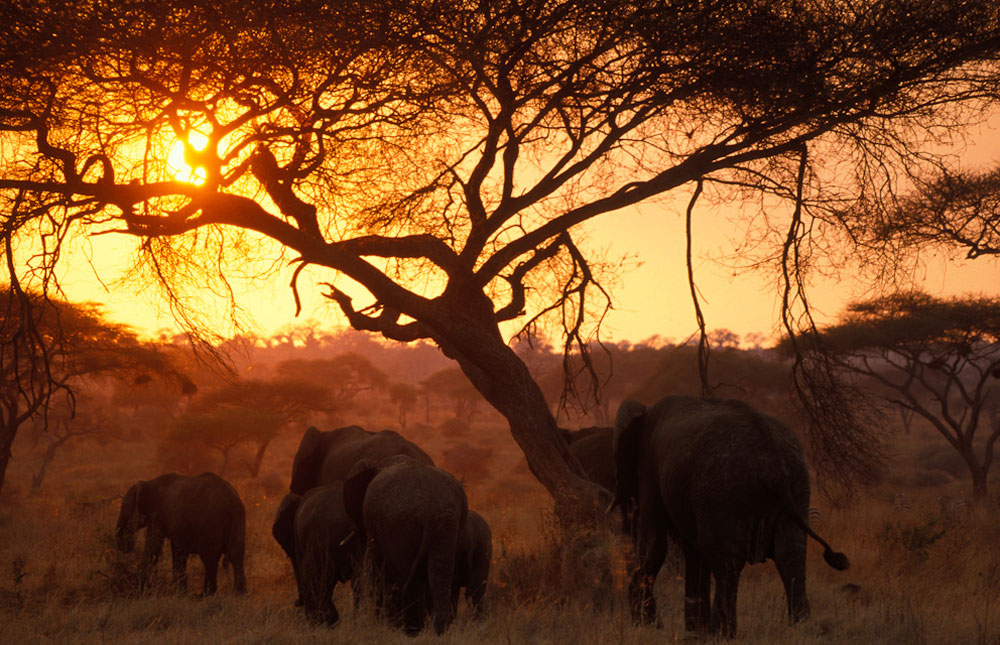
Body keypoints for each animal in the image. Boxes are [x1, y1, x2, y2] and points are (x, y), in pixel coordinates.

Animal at [116, 470, 247, 596]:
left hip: (212, 522)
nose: (124, 546)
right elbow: (178, 551)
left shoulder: (157, 514)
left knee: (210, 559)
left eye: (124, 508)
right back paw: (239, 595)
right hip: (238, 522)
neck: (148, 483)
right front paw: (180, 591)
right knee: (236, 556)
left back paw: (206, 595)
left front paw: (142, 589)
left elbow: (153, 546)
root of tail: (232, 502)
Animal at [344, 452, 468, 632]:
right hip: (447, 522)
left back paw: (410, 630)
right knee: (440, 572)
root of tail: (429, 508)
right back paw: (437, 629)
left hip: (399, 523)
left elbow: (374, 570)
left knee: (406, 575)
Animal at [608, 398, 852, 632]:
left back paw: (722, 633)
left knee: (726, 562)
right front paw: (694, 633)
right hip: (797, 482)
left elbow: (654, 546)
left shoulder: (651, 473)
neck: (644, 412)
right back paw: (800, 627)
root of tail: (772, 462)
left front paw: (650, 626)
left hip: (724, 489)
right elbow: (693, 551)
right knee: (790, 554)